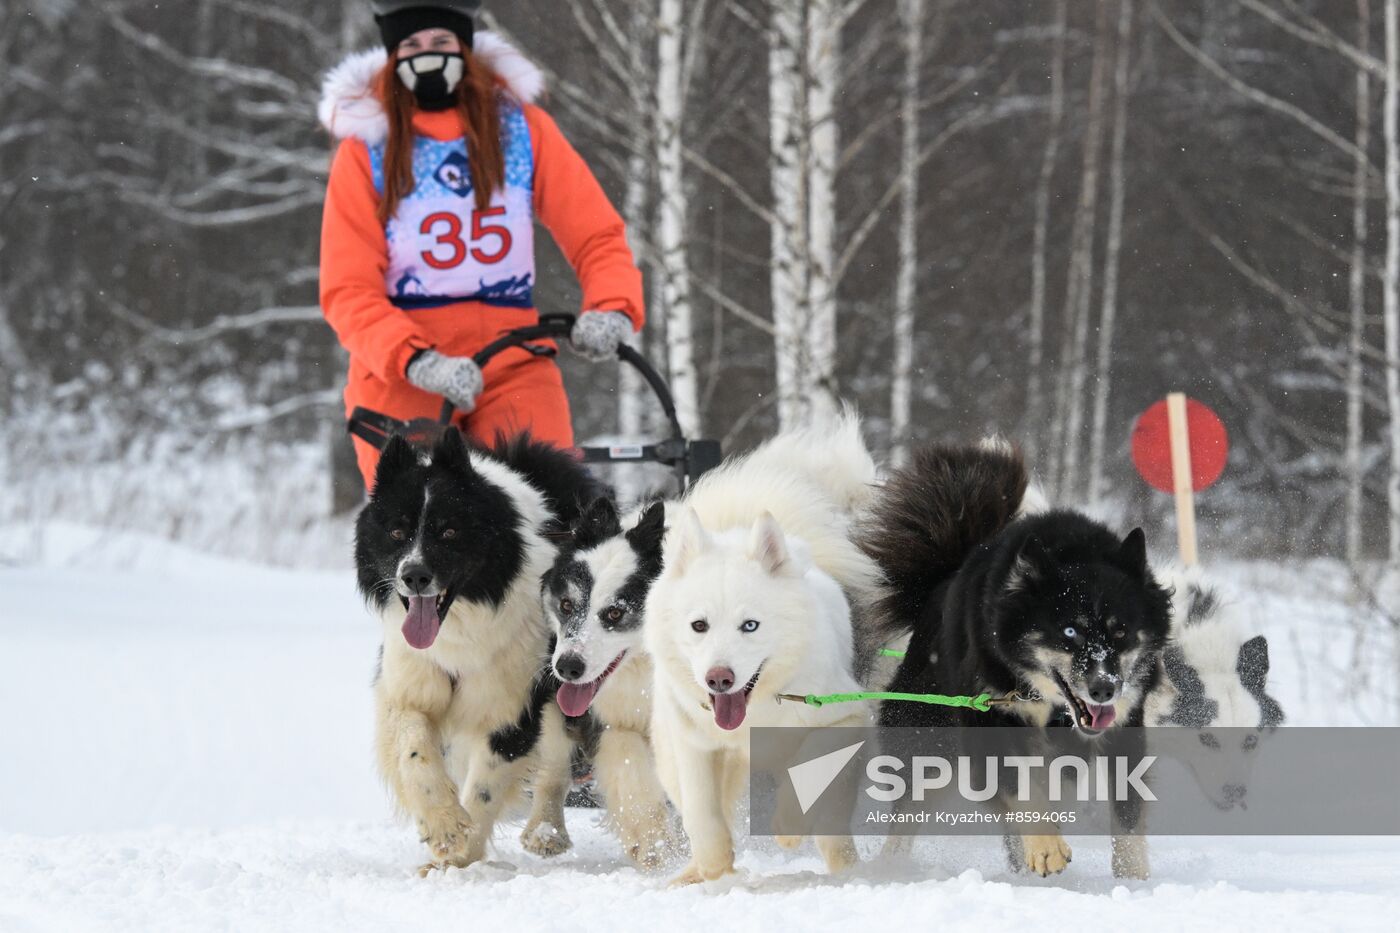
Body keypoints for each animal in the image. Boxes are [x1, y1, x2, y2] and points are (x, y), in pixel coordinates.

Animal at [352, 425, 604, 868]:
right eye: (397, 532)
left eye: (449, 531)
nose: (414, 576)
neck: (460, 623)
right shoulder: (409, 687)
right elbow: (414, 750)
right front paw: (443, 825)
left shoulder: (511, 707)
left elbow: (485, 789)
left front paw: (459, 857)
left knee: (556, 759)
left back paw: (546, 832)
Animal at [862, 439, 1170, 874]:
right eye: (1070, 632)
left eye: (1121, 630)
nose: (1104, 689)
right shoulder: (993, 717)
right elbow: (1020, 786)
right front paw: (1046, 845)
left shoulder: (1125, 727)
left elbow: (1127, 815)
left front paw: (1135, 878)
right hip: (930, 739)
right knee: (909, 812)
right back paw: (891, 866)